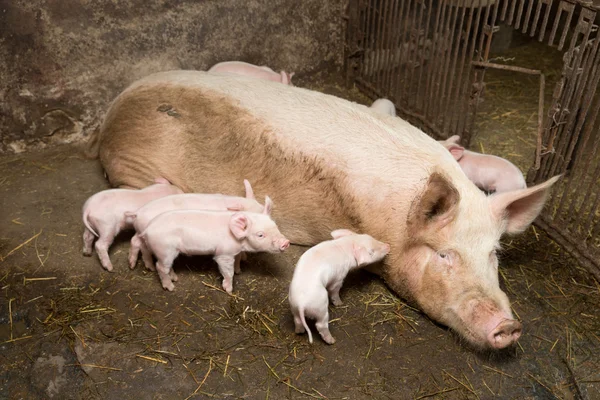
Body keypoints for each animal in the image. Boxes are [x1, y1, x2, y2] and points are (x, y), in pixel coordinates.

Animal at [96, 71, 560, 350]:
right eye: (444, 254)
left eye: (494, 254)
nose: (509, 326)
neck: (391, 222)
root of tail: (114, 107)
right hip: (137, 172)